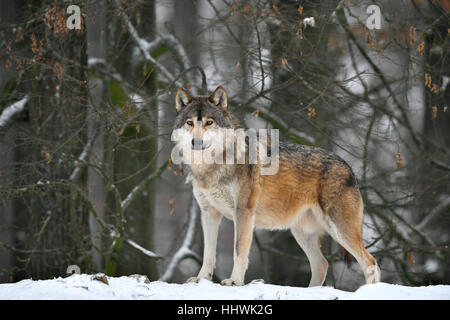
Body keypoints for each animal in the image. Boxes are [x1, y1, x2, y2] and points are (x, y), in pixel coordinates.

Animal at [172, 85, 380, 288]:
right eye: (190, 123)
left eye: (209, 122)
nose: (196, 142)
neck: (212, 167)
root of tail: (348, 166)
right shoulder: (209, 213)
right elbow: (208, 254)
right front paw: (201, 279)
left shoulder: (243, 212)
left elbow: (239, 251)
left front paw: (234, 281)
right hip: (302, 233)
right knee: (322, 264)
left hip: (339, 229)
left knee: (370, 262)